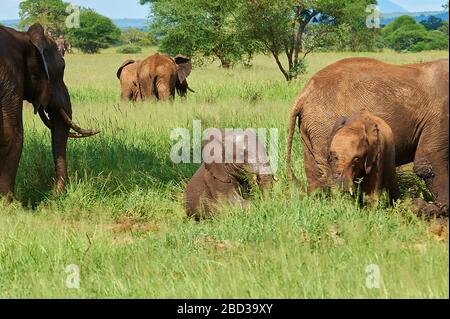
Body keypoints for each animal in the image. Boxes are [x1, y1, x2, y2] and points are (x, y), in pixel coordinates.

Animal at [0, 23, 99, 200]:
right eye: (62, 69)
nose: (52, 196)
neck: (24, 38)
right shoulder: (9, 78)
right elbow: (13, 135)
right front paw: (8, 203)